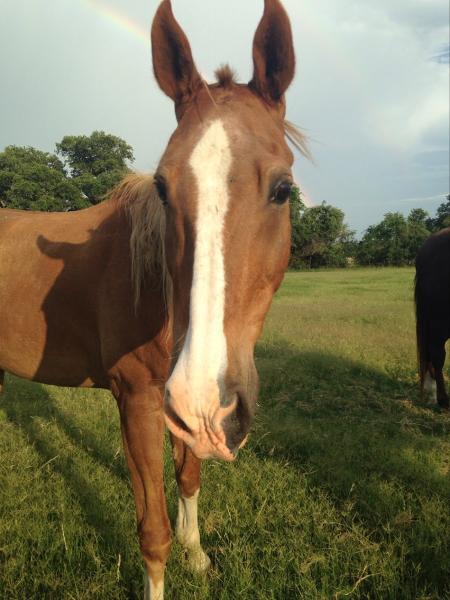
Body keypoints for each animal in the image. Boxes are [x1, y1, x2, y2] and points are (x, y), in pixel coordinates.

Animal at [0, 2, 310, 596]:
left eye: (283, 188)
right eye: (163, 188)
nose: (211, 403)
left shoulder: (180, 408)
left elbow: (188, 476)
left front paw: (198, 556)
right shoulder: (139, 399)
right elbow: (153, 530)